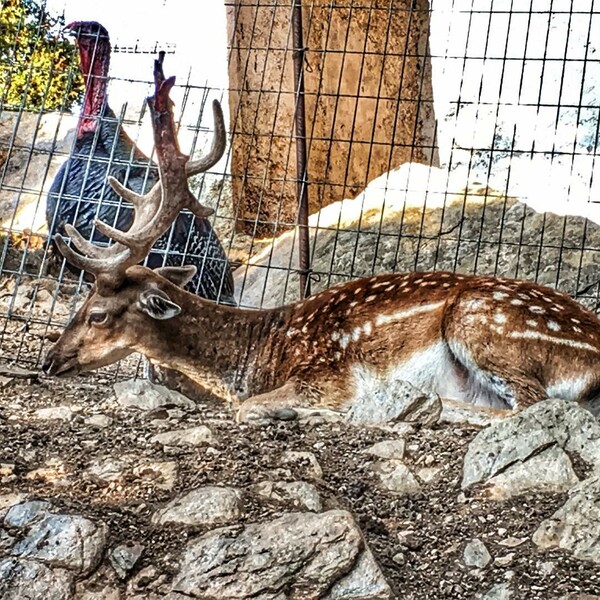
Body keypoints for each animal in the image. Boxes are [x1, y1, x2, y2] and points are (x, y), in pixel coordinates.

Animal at [41, 56, 600, 422]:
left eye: (97, 313)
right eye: (79, 303)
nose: (50, 360)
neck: (261, 351)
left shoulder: (326, 374)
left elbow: (248, 408)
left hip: (483, 322)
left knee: (531, 405)